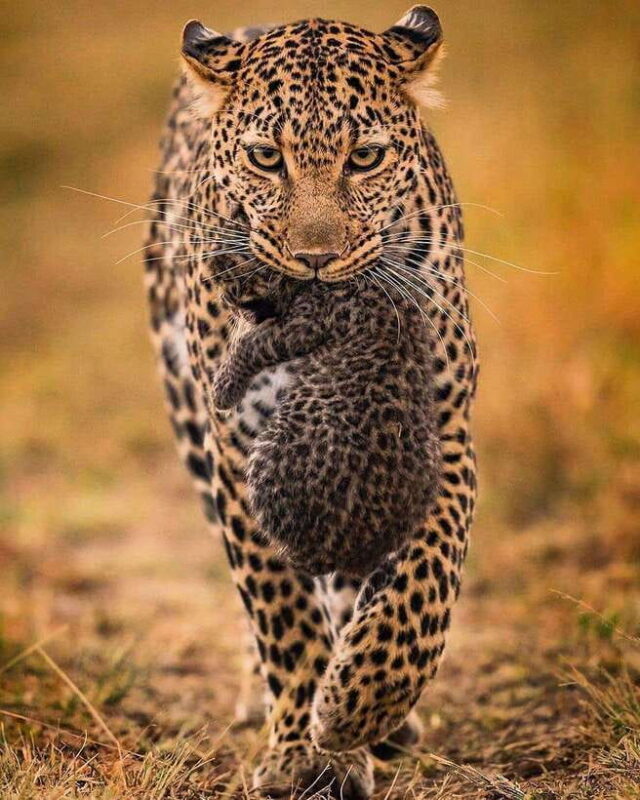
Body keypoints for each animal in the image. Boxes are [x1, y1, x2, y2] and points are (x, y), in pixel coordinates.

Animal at [210, 277, 441, 578]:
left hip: (272, 450)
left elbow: (253, 344)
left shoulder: (305, 324)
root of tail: (350, 557)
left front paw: (223, 390)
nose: (228, 301)